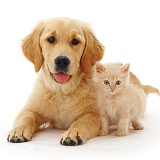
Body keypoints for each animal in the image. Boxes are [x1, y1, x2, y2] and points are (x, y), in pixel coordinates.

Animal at [7, 17, 105, 145]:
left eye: (75, 41)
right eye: (51, 39)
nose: (62, 60)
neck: (61, 91)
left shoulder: (93, 114)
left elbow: (81, 122)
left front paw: (73, 133)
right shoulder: (30, 109)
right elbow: (26, 117)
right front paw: (19, 130)